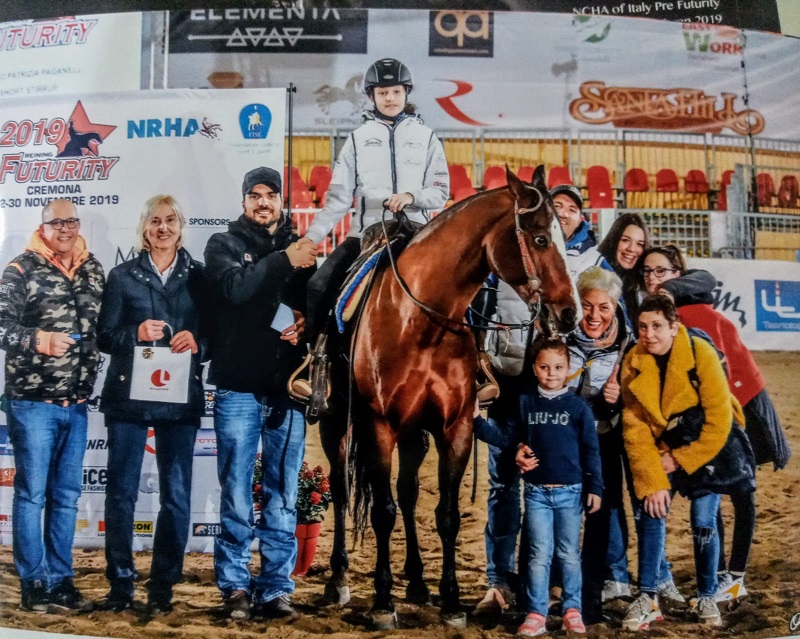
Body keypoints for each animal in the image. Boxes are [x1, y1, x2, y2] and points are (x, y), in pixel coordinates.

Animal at [317, 165, 580, 628]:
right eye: (539, 239)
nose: (570, 314)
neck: (419, 318)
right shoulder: (379, 425)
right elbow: (382, 512)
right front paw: (383, 603)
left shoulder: (455, 427)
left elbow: (447, 515)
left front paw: (452, 602)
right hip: (338, 424)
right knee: (344, 488)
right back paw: (339, 580)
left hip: (414, 433)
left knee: (407, 492)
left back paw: (418, 583)